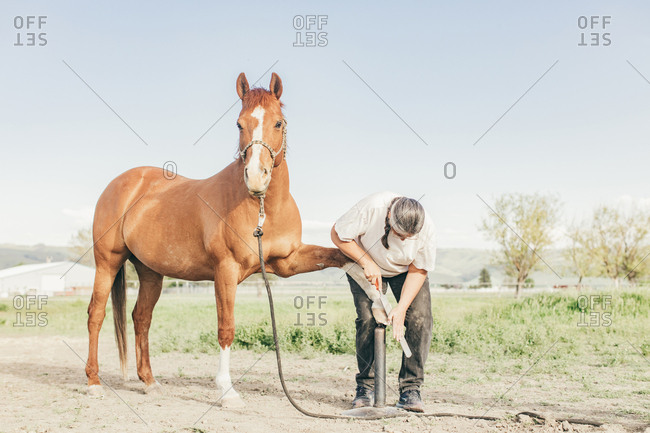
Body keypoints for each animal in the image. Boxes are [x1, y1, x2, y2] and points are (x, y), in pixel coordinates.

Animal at [85, 72, 350, 407]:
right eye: (239, 124)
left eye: (278, 123)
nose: (256, 176)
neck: (262, 207)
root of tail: (121, 183)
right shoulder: (226, 271)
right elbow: (226, 328)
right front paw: (227, 391)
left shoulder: (288, 262)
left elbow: (335, 255)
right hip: (107, 262)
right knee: (96, 314)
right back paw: (93, 382)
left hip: (150, 272)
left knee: (141, 318)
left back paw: (149, 382)